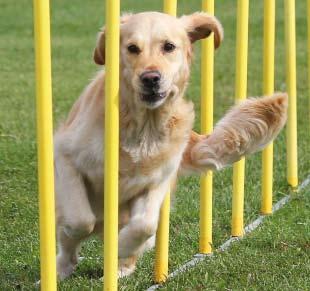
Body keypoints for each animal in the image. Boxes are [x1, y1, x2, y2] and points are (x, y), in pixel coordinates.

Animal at [54, 12, 288, 280]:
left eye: (168, 47)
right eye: (132, 48)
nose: (151, 78)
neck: (143, 128)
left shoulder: (157, 182)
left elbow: (145, 226)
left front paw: (122, 245)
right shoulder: (65, 155)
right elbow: (80, 219)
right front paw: (78, 236)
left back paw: (121, 265)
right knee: (71, 239)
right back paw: (62, 267)